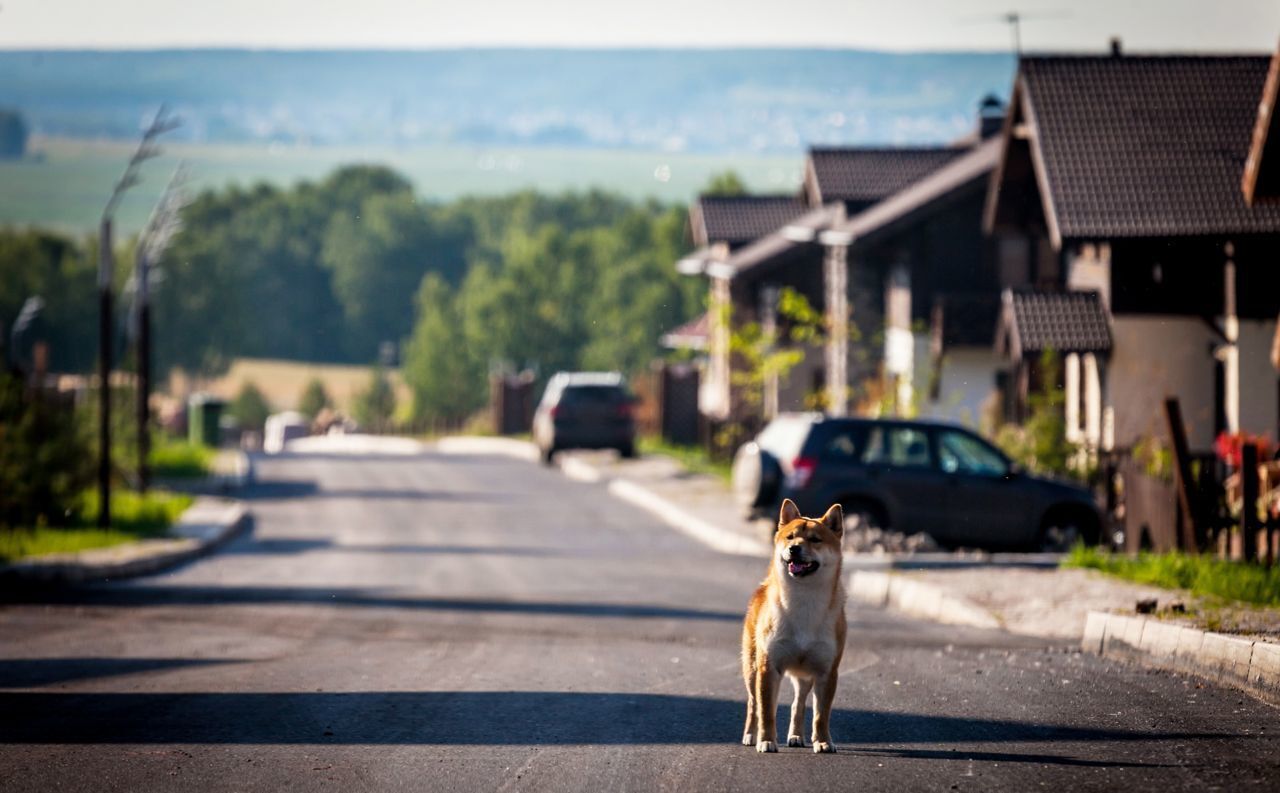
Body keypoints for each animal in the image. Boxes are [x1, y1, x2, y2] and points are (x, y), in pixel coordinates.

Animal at [737, 498, 844, 752]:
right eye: (790, 537)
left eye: (815, 540)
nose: (794, 548)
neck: (803, 603)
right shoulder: (768, 667)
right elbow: (767, 711)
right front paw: (766, 740)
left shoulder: (827, 671)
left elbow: (821, 715)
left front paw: (823, 742)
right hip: (752, 668)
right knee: (753, 703)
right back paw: (750, 735)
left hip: (805, 674)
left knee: (799, 703)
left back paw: (796, 736)